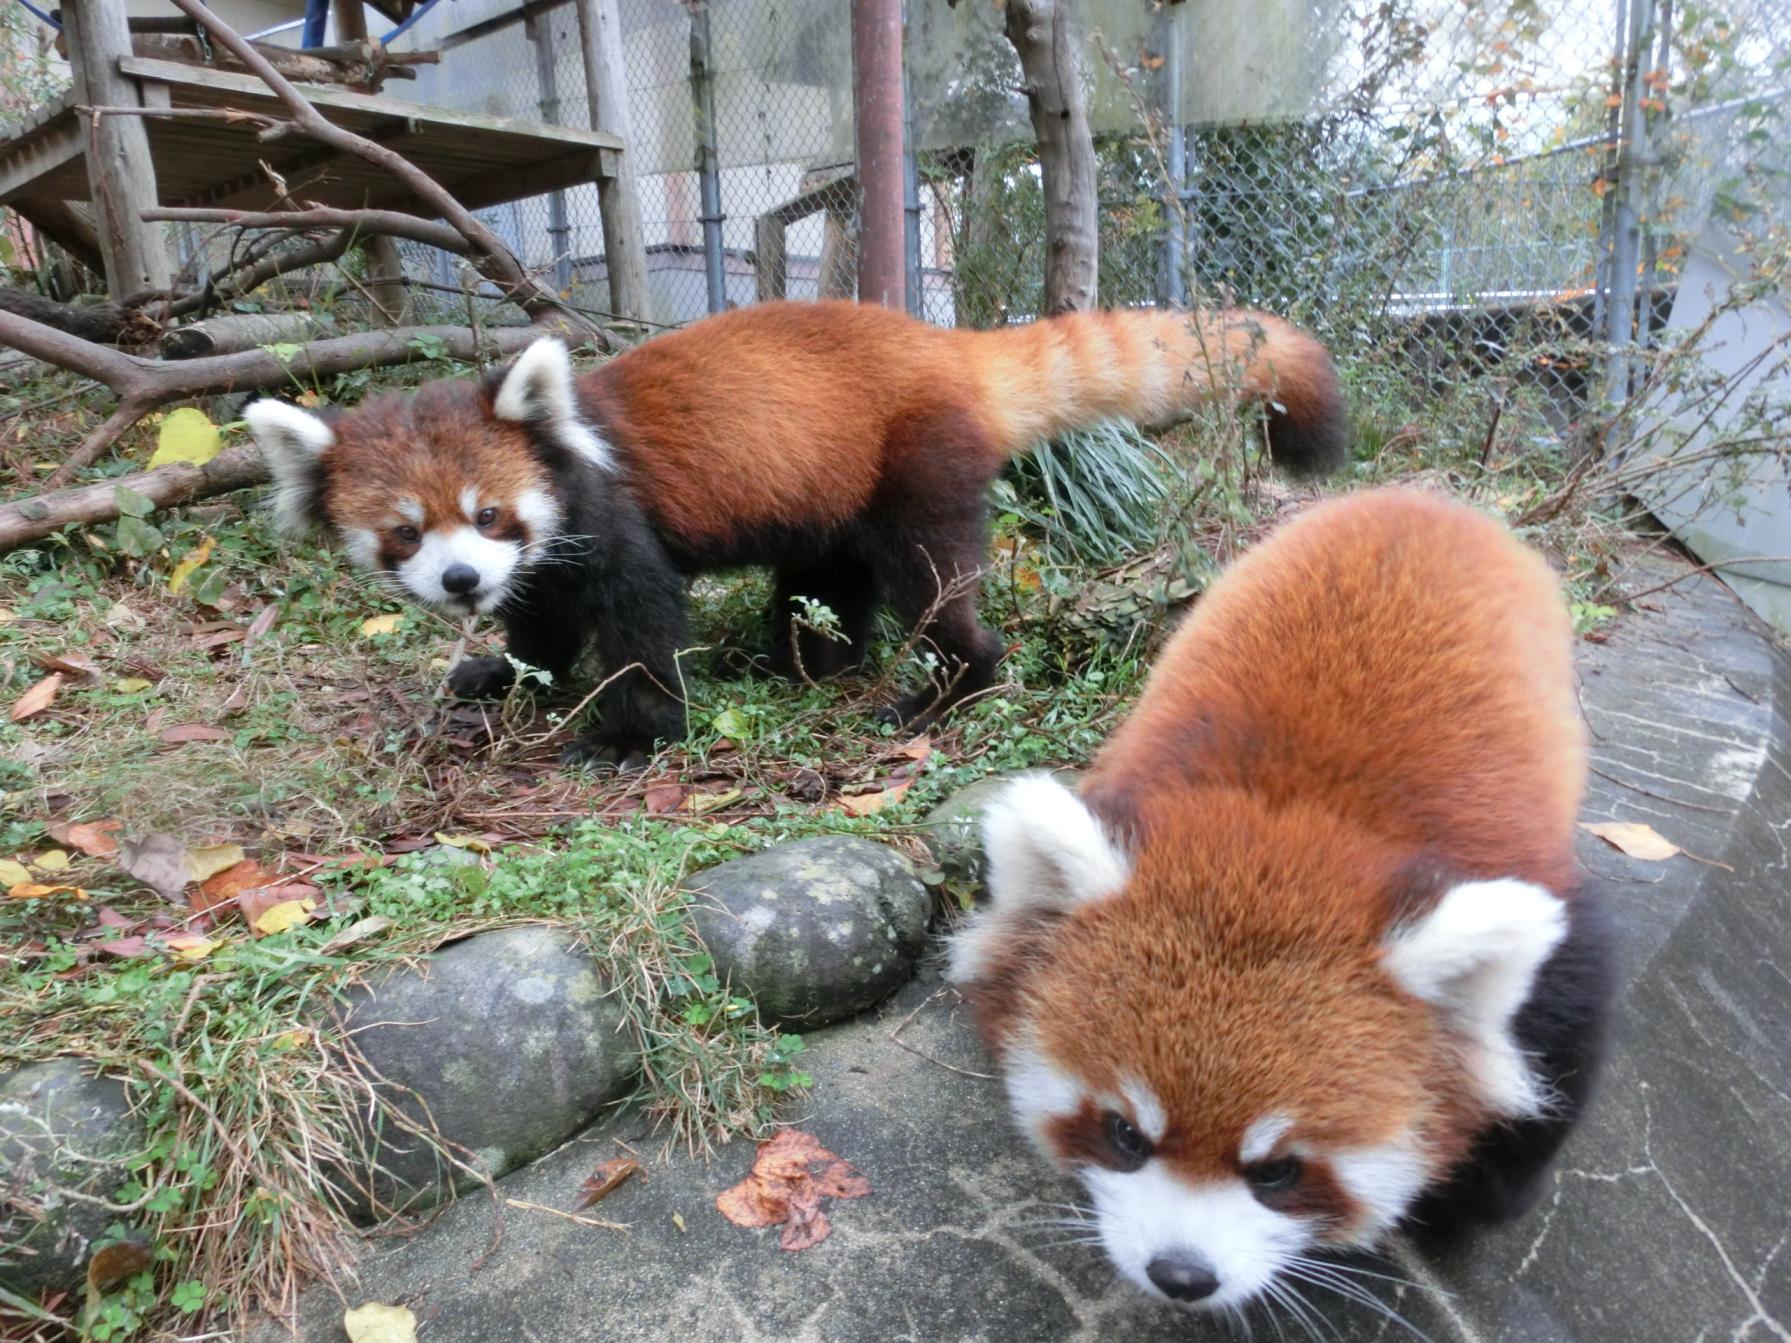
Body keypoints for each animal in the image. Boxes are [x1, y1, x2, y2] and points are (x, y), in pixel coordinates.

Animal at [248, 300, 1346, 762]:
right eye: (405, 533)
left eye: (487, 514)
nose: (463, 582)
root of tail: (947, 347)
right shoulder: (547, 562)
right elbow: (546, 625)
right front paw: (509, 676)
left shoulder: (610, 514)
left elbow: (643, 618)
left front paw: (628, 733)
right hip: (834, 491)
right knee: (829, 581)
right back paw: (801, 658)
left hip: (915, 462)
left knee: (932, 583)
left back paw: (946, 685)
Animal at [959, 487, 1619, 1317]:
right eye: (1123, 1133)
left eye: (1277, 1171)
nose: (1180, 1274)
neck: (1292, 823)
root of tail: (1422, 497)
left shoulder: (1556, 926)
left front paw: (1472, 1195)